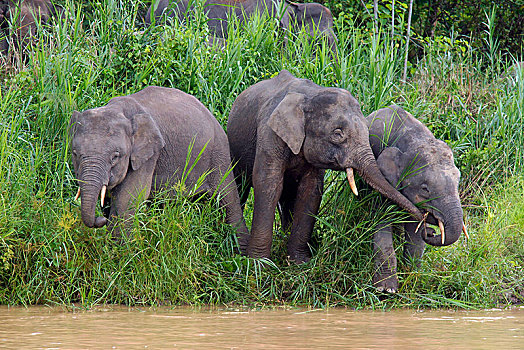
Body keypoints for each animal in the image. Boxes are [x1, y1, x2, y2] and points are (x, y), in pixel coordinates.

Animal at [69, 86, 250, 252]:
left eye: (115, 156)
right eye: (75, 153)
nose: (100, 220)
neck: (117, 109)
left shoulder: (148, 155)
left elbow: (127, 199)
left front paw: (119, 255)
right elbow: (110, 200)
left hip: (219, 154)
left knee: (228, 199)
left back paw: (241, 254)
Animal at [227, 70, 424, 262]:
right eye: (337, 133)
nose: (424, 220)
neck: (310, 96)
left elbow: (311, 191)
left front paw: (300, 262)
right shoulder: (269, 134)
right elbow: (268, 184)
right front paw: (258, 263)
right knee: (241, 185)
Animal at [368, 105, 466, 294]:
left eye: (458, 182)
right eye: (425, 189)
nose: (431, 232)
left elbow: (414, 231)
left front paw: (411, 281)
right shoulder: (383, 180)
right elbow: (382, 219)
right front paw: (386, 290)